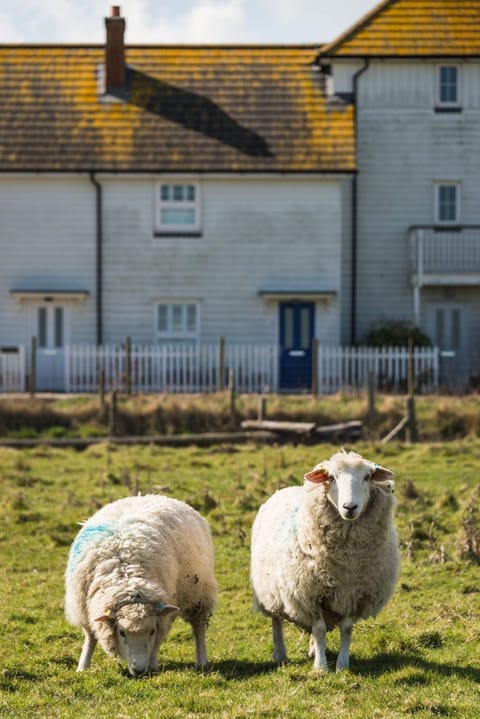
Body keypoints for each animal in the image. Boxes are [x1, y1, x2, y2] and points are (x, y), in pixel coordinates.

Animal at [65, 492, 218, 676]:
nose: (139, 671)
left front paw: (151, 664)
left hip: (198, 592)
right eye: (121, 633)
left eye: (151, 631)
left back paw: (201, 660)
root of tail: (152, 496)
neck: (127, 577)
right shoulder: (85, 610)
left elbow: (156, 642)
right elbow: (90, 638)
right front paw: (83, 666)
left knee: (198, 627)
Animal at [251, 450, 402, 676]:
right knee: (276, 620)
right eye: (331, 478)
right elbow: (320, 629)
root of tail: (285, 489)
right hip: (270, 590)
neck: (347, 559)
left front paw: (342, 665)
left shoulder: (353, 593)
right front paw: (321, 667)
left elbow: (346, 629)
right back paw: (280, 654)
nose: (350, 507)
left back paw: (313, 650)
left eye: (367, 477)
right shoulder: (310, 594)